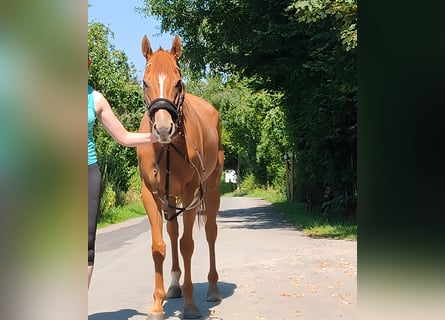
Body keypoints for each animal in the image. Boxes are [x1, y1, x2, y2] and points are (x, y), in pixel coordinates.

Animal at [137, 35, 224, 320]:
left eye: (178, 82)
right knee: (173, 232)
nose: (164, 128)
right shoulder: (151, 194)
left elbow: (188, 245)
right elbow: (159, 246)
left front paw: (189, 305)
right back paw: (174, 285)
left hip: (211, 189)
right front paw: (157, 304)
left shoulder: (190, 192)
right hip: (170, 197)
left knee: (210, 232)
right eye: (145, 82)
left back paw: (213, 288)